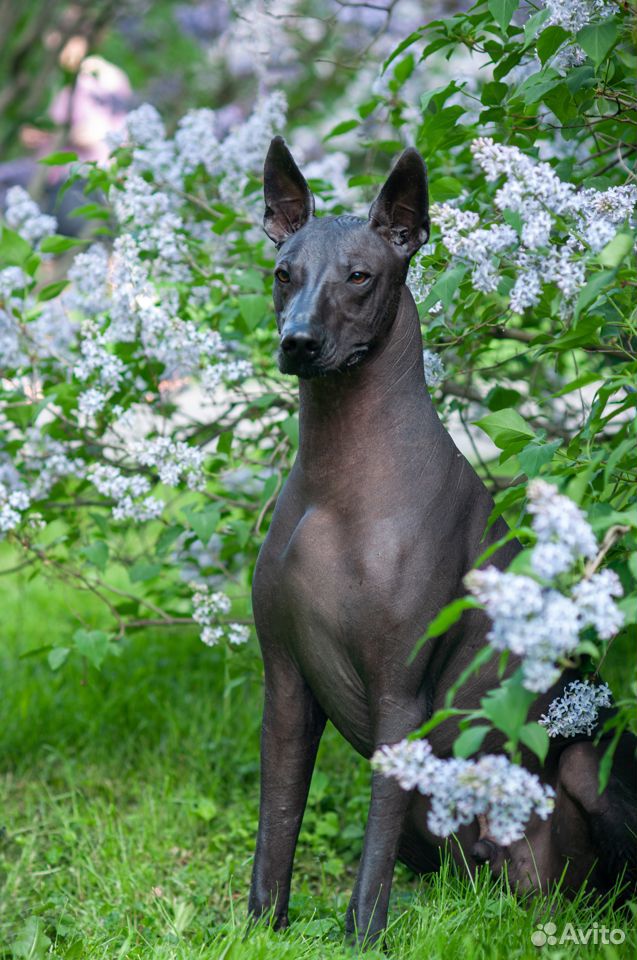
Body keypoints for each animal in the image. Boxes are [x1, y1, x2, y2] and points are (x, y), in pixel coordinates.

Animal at [250, 135, 636, 944]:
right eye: (282, 272)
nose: (297, 342)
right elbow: (278, 821)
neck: (341, 480)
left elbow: (367, 855)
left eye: (359, 276)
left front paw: (362, 938)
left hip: (585, 760)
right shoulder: (285, 684)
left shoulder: (400, 694)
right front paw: (259, 927)